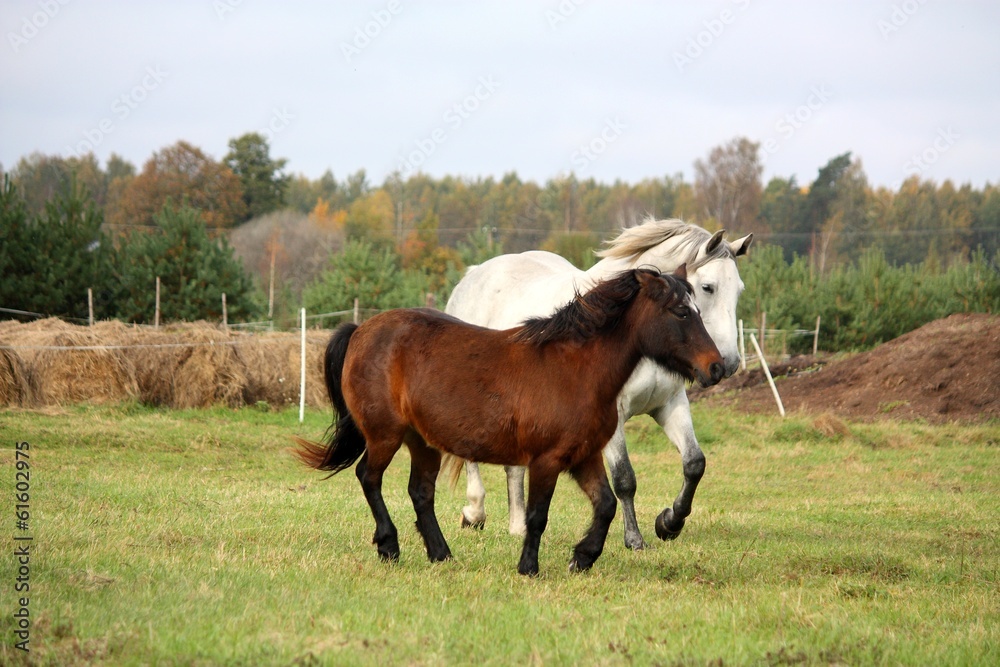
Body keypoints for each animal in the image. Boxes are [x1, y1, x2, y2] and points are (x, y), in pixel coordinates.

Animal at [292, 266, 724, 576]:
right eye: (682, 312)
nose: (717, 367)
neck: (575, 369)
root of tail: (360, 330)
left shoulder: (584, 456)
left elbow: (605, 505)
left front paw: (582, 558)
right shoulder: (546, 461)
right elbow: (536, 516)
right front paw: (529, 567)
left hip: (422, 441)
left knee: (421, 492)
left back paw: (441, 554)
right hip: (385, 435)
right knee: (369, 477)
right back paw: (389, 545)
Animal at [446, 219, 752, 548]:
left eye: (739, 291)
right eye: (708, 287)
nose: (727, 364)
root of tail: (474, 274)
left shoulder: (670, 404)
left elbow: (694, 463)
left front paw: (669, 523)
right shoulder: (612, 414)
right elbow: (624, 478)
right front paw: (634, 539)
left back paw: (518, 527)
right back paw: (474, 512)